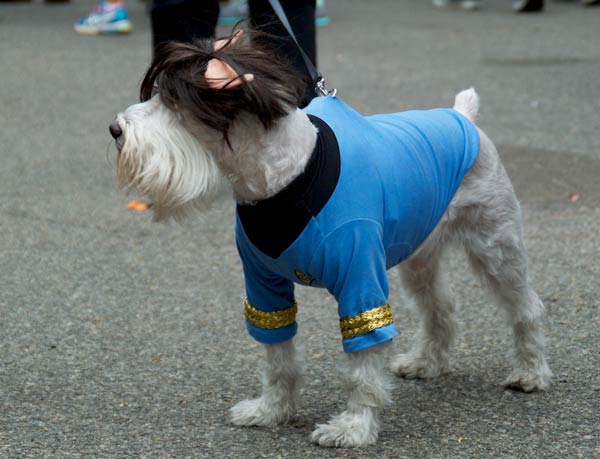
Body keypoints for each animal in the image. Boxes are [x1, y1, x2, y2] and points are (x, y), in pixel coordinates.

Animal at [110, 30, 552, 448]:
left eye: (173, 100)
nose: (114, 129)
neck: (281, 179)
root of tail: (462, 117)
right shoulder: (264, 286)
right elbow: (277, 357)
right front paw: (271, 410)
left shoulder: (361, 283)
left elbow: (362, 365)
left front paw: (352, 428)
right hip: (420, 257)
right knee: (439, 307)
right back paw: (426, 363)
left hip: (496, 247)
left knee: (524, 308)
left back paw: (530, 373)